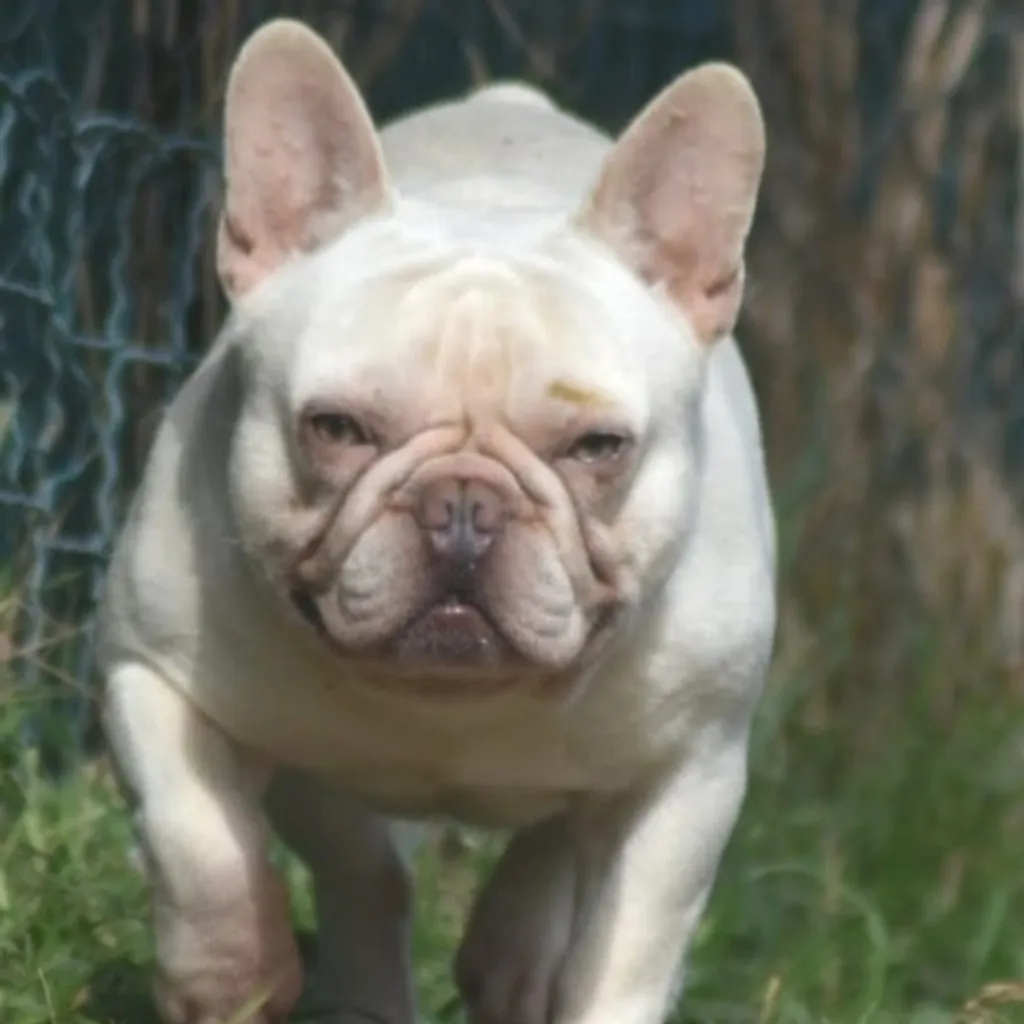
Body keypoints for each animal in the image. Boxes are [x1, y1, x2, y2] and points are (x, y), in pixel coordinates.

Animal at [97, 19, 774, 1024]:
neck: (453, 706)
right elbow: (199, 840)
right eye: (336, 427)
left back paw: (516, 954)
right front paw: (231, 979)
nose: (463, 503)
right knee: (364, 874)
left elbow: (625, 952)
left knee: (554, 844)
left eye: (598, 446)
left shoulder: (689, 776)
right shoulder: (150, 672)